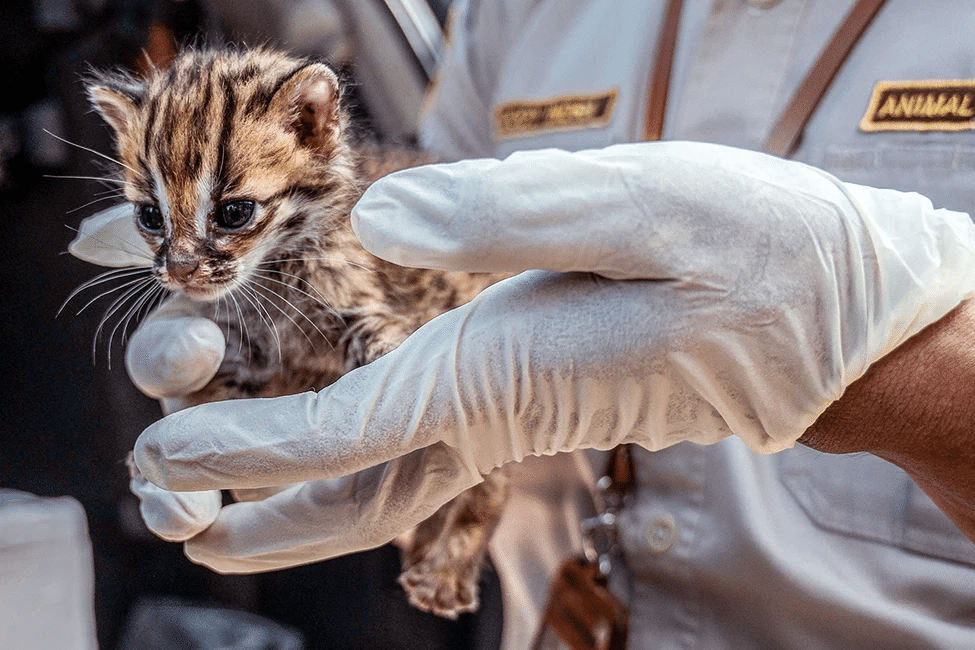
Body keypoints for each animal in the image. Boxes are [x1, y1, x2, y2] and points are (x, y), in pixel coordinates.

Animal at [82, 48, 510, 616]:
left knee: (493, 485)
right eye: (150, 216)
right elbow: (213, 400)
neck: (272, 272)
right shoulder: (236, 345)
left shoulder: (362, 307)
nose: (179, 270)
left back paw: (445, 570)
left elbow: (390, 368)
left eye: (234, 213)